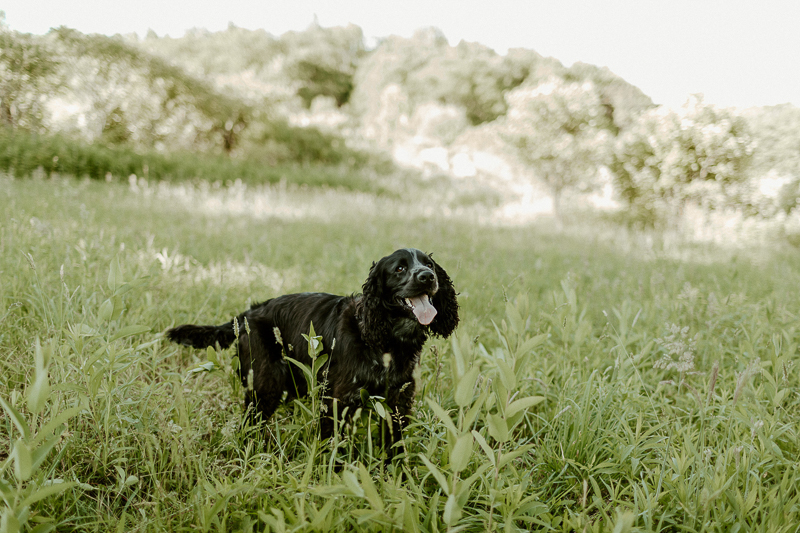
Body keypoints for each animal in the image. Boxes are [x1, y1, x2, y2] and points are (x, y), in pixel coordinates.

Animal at [166, 247, 460, 450]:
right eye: (399, 269)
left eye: (429, 264)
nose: (428, 276)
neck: (385, 341)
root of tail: (248, 314)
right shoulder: (338, 400)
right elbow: (334, 445)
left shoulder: (399, 401)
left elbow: (394, 448)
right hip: (265, 384)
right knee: (250, 423)